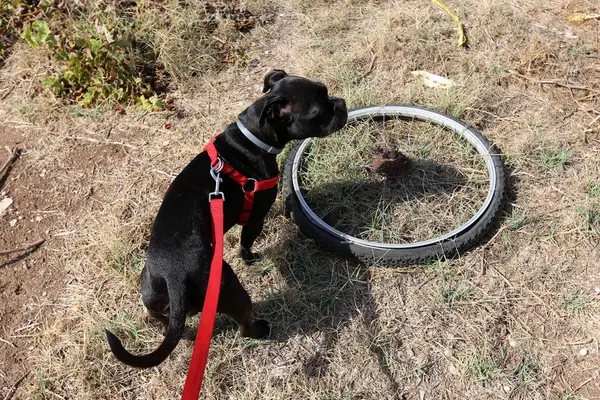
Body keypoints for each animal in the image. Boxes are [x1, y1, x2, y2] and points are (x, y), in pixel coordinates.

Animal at [103, 70, 346, 368]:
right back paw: (261, 330)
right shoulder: (256, 216)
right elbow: (247, 240)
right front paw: (250, 258)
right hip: (229, 288)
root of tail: (174, 276)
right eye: (320, 109)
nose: (343, 104)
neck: (251, 139)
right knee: (243, 323)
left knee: (162, 321)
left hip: (151, 293)